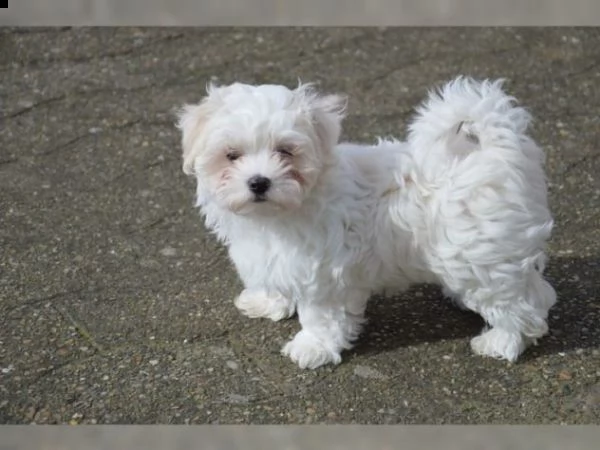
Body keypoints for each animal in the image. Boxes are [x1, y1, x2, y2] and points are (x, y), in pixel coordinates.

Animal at [178, 77, 556, 370]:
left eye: (285, 151)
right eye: (231, 155)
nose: (259, 182)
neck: (280, 213)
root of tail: (496, 152)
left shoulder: (323, 273)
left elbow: (320, 315)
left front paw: (311, 347)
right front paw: (268, 302)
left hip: (485, 255)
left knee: (520, 301)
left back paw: (502, 341)